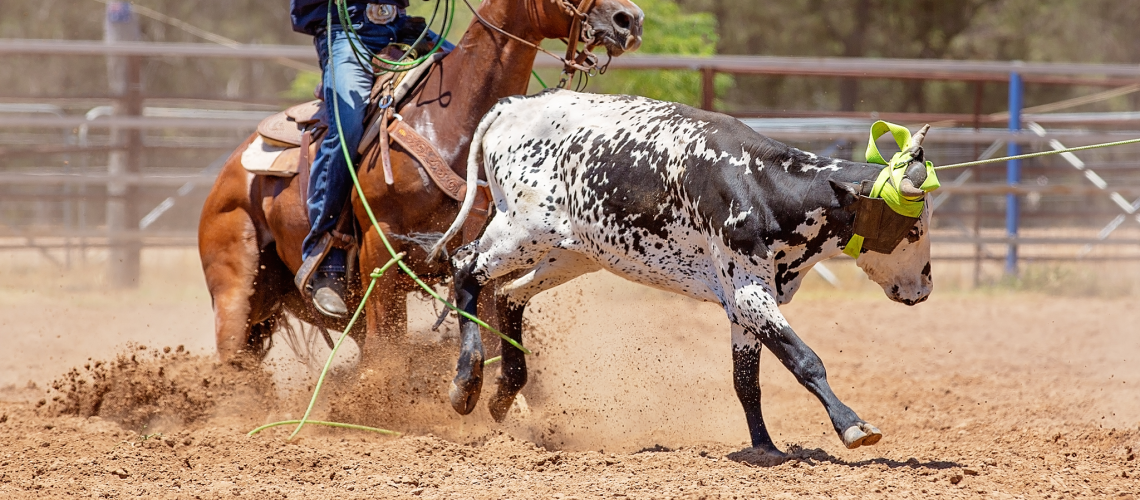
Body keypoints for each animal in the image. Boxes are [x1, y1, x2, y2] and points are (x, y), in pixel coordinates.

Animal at [196, 0, 642, 369]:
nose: (630, 19)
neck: (453, 123)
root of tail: (227, 174)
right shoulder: (379, 249)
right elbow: (386, 353)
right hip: (237, 288)